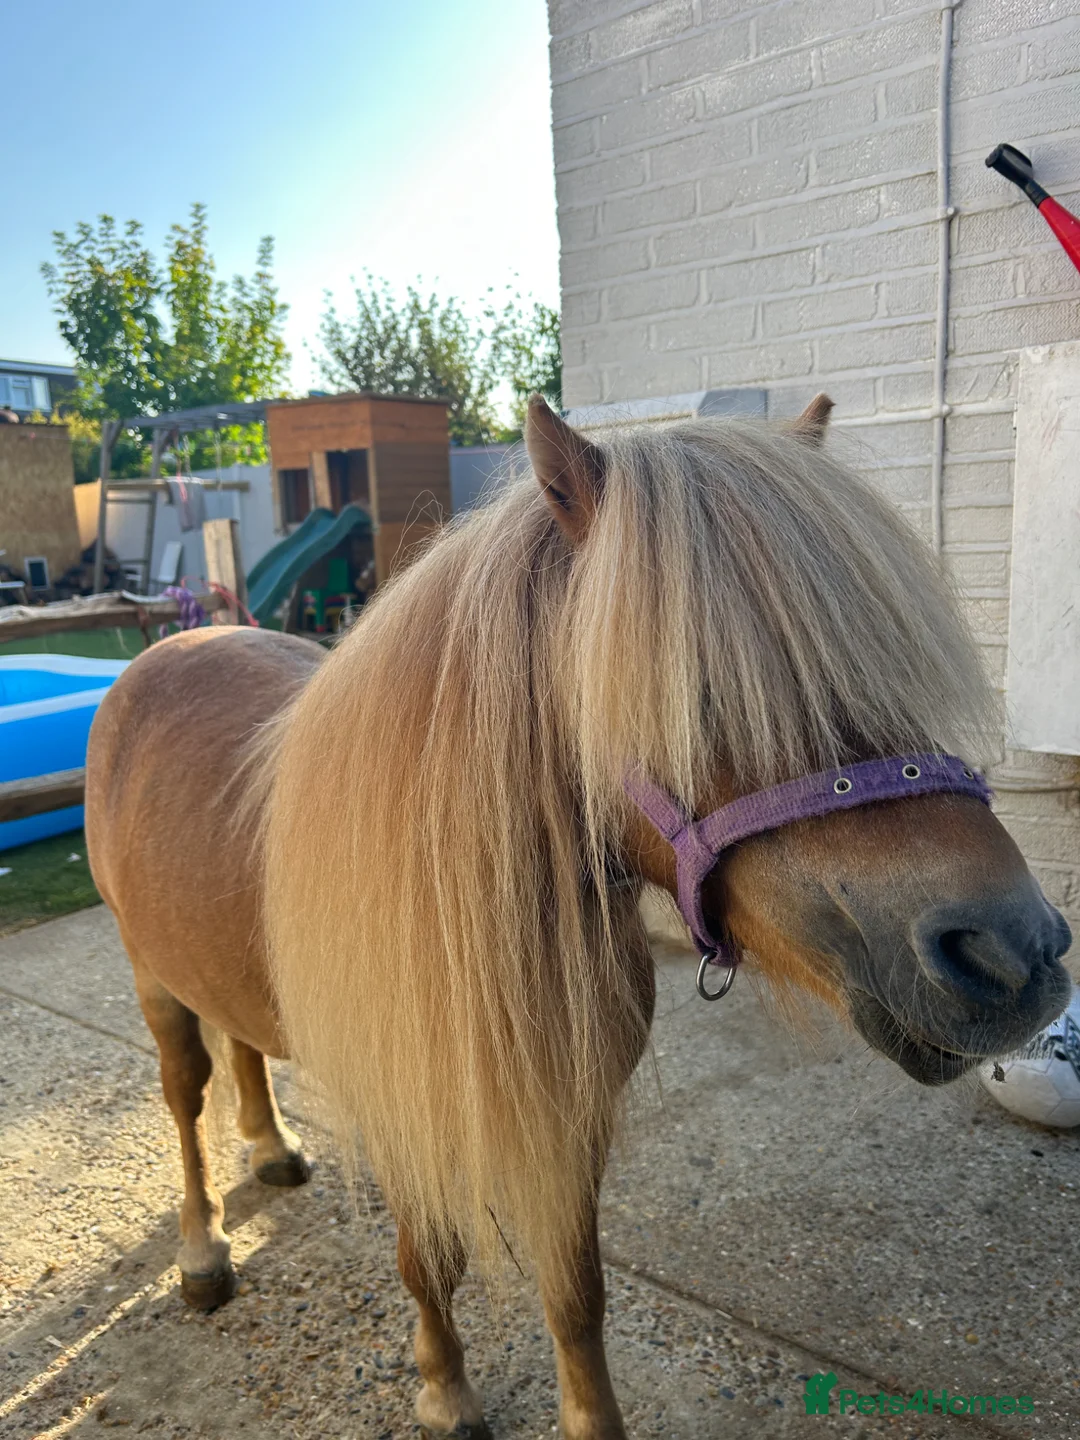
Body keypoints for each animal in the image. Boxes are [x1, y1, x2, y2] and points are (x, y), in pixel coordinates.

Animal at [85, 395, 1072, 1440]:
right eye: (698, 685)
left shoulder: (573, 1117)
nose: (1017, 954)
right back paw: (201, 1253)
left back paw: (272, 1148)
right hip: (150, 978)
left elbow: (576, 1293)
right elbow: (428, 1263)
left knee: (239, 1043)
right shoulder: (409, 1117)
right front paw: (444, 1390)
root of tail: (168, 650)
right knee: (184, 1095)